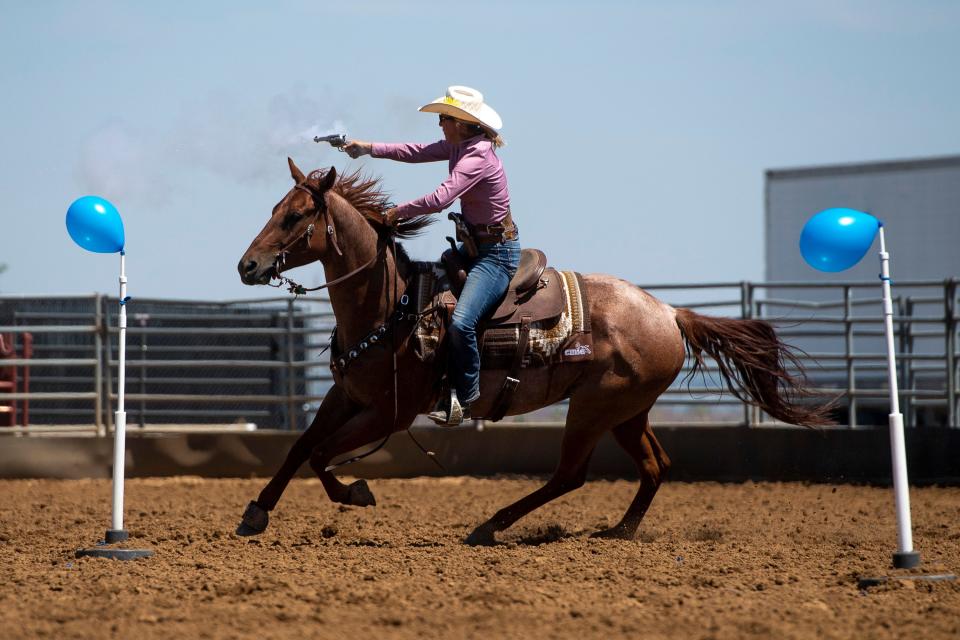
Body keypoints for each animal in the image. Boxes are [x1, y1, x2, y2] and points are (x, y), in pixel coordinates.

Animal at [232, 160, 832, 544]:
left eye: (293, 217)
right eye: (273, 207)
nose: (247, 265)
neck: (389, 305)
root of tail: (668, 313)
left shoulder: (390, 412)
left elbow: (319, 455)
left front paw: (356, 493)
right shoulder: (345, 396)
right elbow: (300, 447)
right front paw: (256, 512)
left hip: (594, 408)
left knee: (570, 474)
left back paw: (491, 526)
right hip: (627, 411)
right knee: (655, 465)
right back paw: (620, 531)